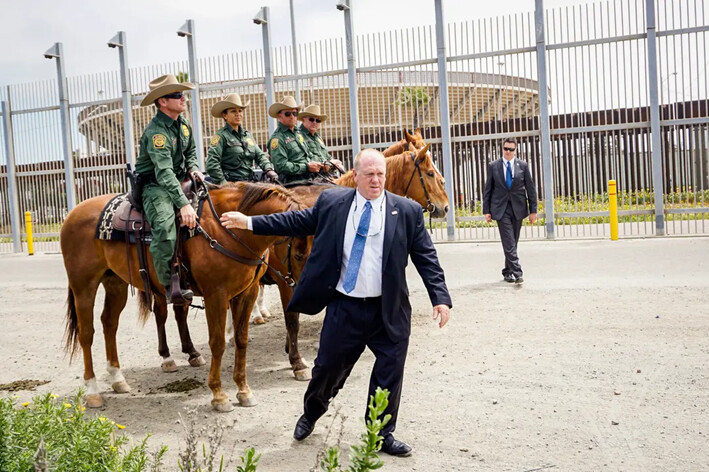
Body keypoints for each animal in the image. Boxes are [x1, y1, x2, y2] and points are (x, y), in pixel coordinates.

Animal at [61, 183, 302, 412]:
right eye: (299, 254)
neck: (227, 231)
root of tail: (73, 213)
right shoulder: (216, 295)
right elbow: (217, 343)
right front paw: (219, 395)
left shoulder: (247, 293)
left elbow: (241, 340)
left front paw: (243, 390)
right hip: (84, 287)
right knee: (86, 334)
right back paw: (93, 390)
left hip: (115, 283)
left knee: (109, 323)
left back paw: (117, 378)